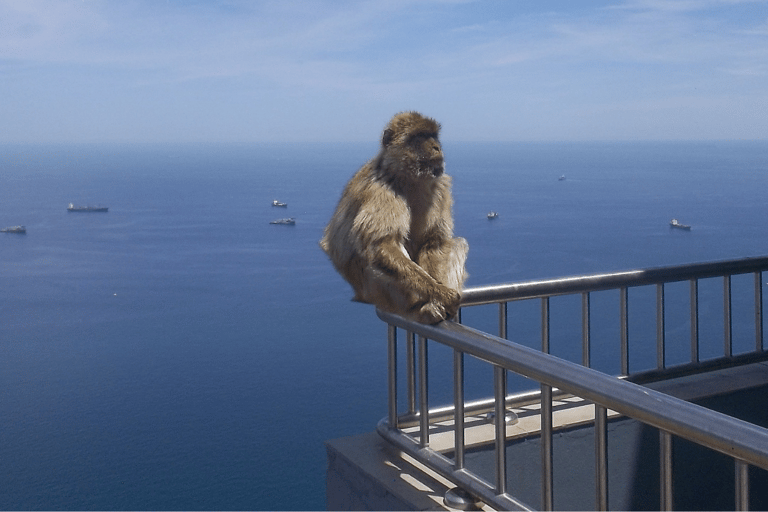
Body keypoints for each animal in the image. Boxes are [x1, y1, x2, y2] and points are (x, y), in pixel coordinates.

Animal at [320, 111, 468, 324]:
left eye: (433, 135)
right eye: (420, 136)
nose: (436, 147)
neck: (410, 178)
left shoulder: (440, 186)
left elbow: (434, 242)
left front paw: (439, 296)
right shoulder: (382, 188)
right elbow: (382, 245)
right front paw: (442, 295)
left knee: (457, 243)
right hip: (378, 292)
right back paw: (421, 309)